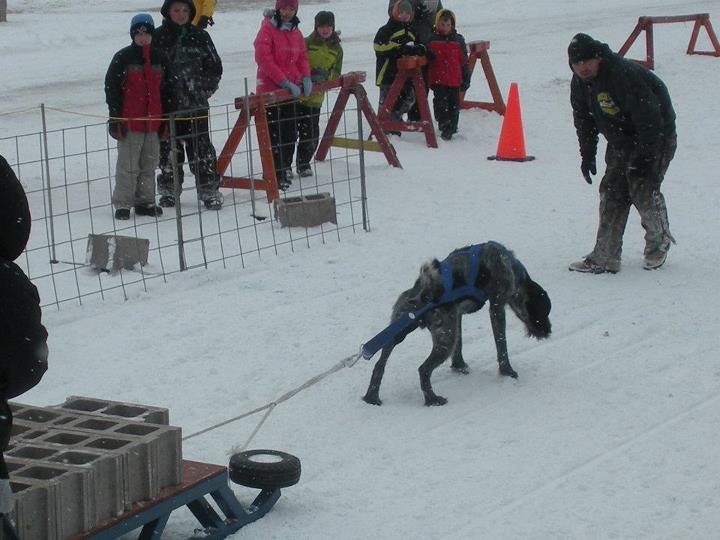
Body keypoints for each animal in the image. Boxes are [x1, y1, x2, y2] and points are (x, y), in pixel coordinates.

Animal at [362, 242, 556, 404]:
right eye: (543, 311)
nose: (549, 331)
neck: (513, 268)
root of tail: (422, 294)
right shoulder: (496, 307)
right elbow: (501, 345)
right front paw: (507, 371)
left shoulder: (458, 315)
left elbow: (460, 345)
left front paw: (459, 365)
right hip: (444, 341)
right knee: (423, 369)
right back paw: (432, 399)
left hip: (397, 334)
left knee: (379, 365)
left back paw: (372, 396)